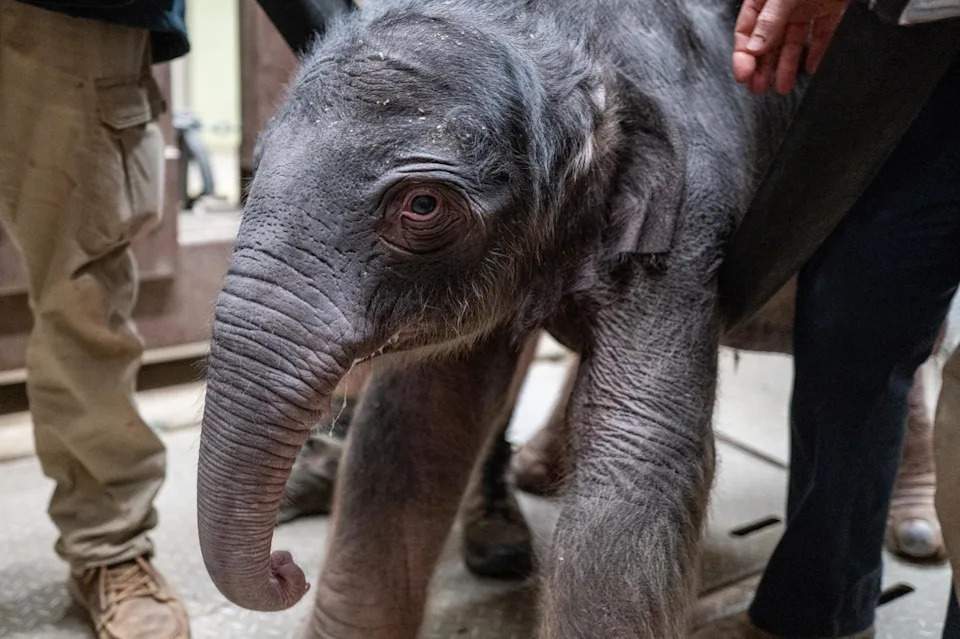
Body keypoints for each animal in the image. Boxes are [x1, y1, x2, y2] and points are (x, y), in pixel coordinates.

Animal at [196, 0, 800, 636]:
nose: (287, 567)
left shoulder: (687, 219)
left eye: (423, 205)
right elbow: (415, 423)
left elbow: (636, 457)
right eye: (256, 165)